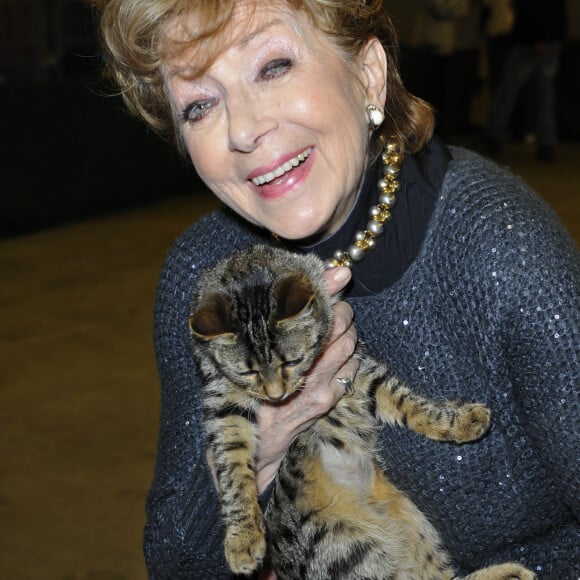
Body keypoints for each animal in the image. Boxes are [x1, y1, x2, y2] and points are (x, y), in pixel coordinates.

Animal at [189, 245, 536, 580]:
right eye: (248, 373)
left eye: (292, 361)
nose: (277, 395)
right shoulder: (222, 404)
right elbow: (232, 470)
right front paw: (243, 539)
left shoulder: (359, 368)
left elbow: (408, 404)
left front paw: (459, 423)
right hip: (348, 548)